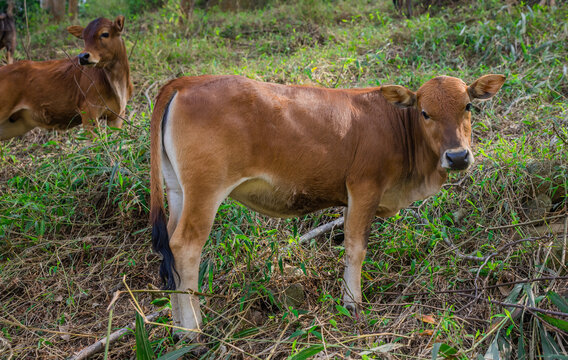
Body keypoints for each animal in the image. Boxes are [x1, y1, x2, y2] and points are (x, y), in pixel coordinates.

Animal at [0, 16, 132, 141]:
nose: (83, 56)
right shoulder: (88, 111)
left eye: (105, 34)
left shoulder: (117, 116)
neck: (117, 82)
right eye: (84, 38)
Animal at [150, 74, 506, 334]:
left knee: (169, 247)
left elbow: (348, 244)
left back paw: (177, 327)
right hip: (205, 192)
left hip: (178, 191)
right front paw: (352, 303)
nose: (458, 157)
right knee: (185, 248)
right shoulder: (364, 187)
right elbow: (356, 248)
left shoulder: (349, 198)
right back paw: (192, 330)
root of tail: (185, 81)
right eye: (425, 112)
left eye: (468, 106)